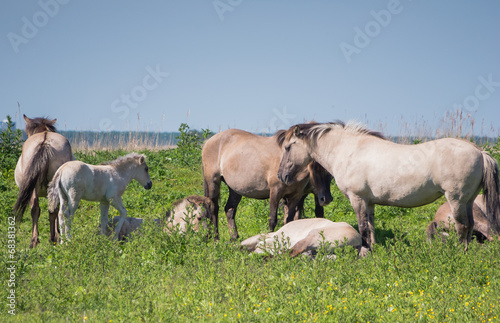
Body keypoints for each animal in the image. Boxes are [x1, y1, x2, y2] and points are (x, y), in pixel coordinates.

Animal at [278, 120, 500, 256]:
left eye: (288, 147)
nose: (282, 176)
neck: (348, 150)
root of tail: (480, 153)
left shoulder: (357, 199)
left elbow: (362, 228)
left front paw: (364, 252)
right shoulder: (369, 203)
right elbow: (371, 227)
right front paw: (373, 250)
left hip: (456, 199)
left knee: (462, 227)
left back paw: (458, 253)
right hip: (468, 201)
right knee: (470, 226)